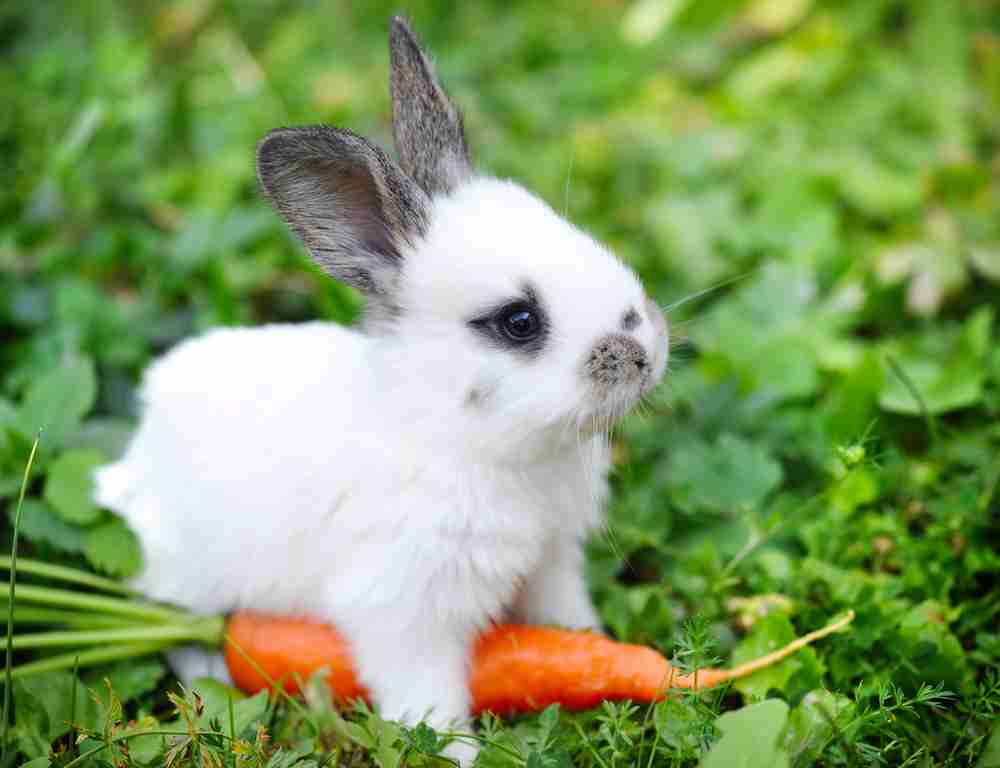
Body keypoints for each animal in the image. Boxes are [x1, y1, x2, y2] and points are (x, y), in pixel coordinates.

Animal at [94, 15, 668, 764]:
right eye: (519, 320)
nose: (645, 352)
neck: (466, 438)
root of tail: (134, 463)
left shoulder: (551, 562)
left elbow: (564, 625)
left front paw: (597, 650)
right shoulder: (404, 613)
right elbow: (429, 697)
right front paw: (457, 754)